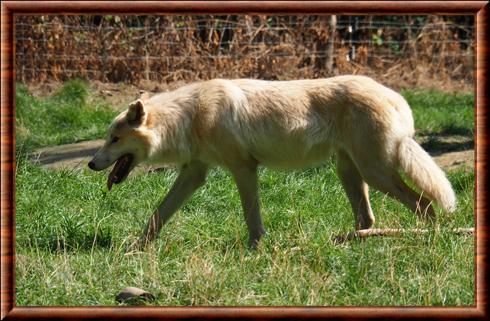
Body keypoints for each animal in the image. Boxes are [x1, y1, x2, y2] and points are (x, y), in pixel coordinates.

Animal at [87, 75, 456, 248]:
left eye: (114, 139)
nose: (91, 164)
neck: (190, 118)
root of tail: (397, 98)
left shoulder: (243, 169)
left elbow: (252, 216)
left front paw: (255, 247)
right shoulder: (194, 173)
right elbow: (158, 214)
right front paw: (137, 247)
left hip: (375, 171)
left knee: (425, 204)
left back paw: (431, 238)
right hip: (349, 171)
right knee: (368, 217)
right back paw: (357, 242)